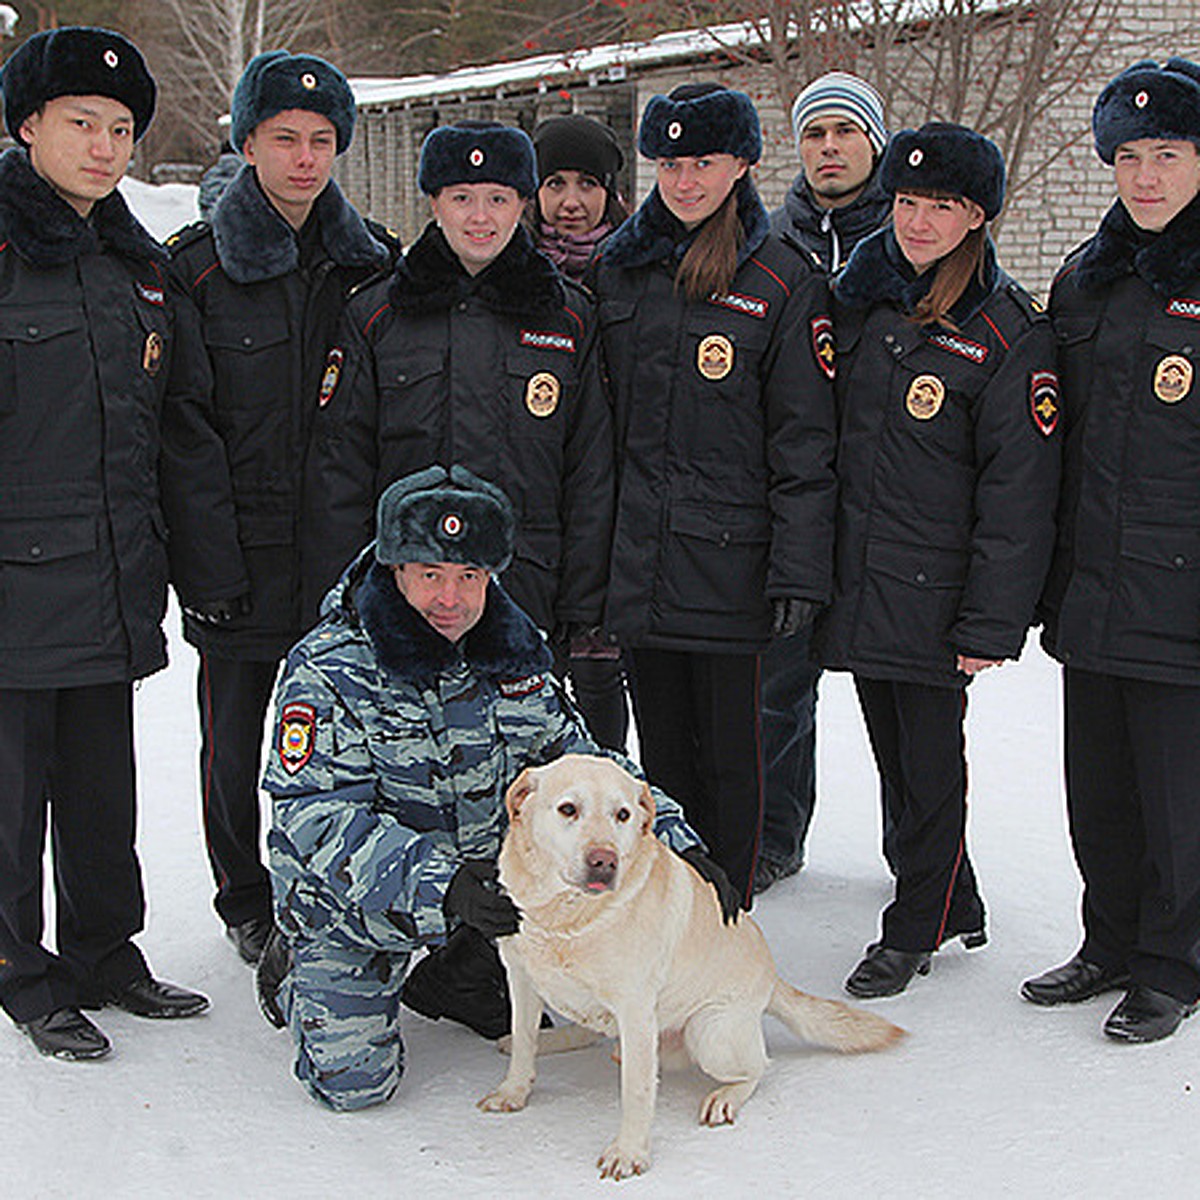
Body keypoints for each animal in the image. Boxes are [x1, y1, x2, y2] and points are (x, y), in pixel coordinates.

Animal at [475, 753, 902, 1176]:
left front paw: (629, 1152)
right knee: (587, 1033)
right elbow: (525, 1042)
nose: (604, 862)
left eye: (623, 815)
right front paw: (513, 1090)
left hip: (709, 1032)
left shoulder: (635, 1010)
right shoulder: (521, 977)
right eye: (568, 809)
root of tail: (772, 974)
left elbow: (637, 1091)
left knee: (759, 1067)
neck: (566, 918)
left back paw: (726, 1097)